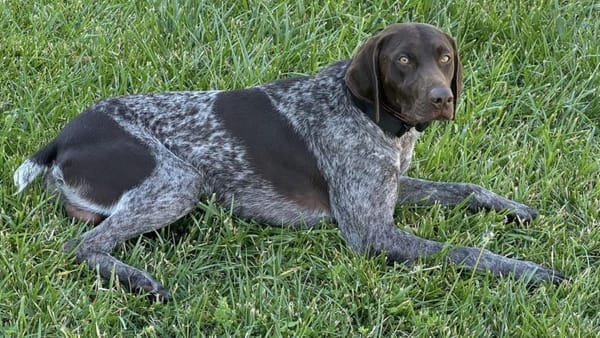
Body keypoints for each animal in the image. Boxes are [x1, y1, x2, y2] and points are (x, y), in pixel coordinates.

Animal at [15, 22, 568, 300]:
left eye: (445, 57)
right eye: (403, 61)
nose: (441, 98)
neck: (366, 115)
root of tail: (62, 137)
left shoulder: (390, 187)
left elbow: (467, 190)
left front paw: (514, 208)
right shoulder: (372, 233)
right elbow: (466, 252)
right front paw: (530, 270)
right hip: (178, 182)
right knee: (82, 246)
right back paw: (138, 281)